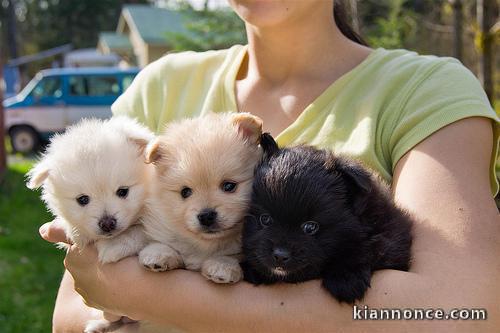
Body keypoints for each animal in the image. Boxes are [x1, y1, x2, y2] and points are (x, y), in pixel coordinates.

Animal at [25, 115, 152, 330]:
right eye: (82, 199)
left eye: (123, 191)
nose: (107, 223)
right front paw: (78, 232)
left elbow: (141, 230)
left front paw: (116, 245)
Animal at [137, 112, 262, 282]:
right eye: (185, 192)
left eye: (229, 186)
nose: (206, 216)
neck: (206, 245)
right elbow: (165, 241)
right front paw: (158, 254)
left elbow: (232, 255)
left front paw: (221, 265)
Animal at [240, 132, 412, 300]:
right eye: (265, 219)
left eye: (310, 227)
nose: (280, 255)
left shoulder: (391, 234)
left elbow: (370, 246)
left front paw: (345, 277)